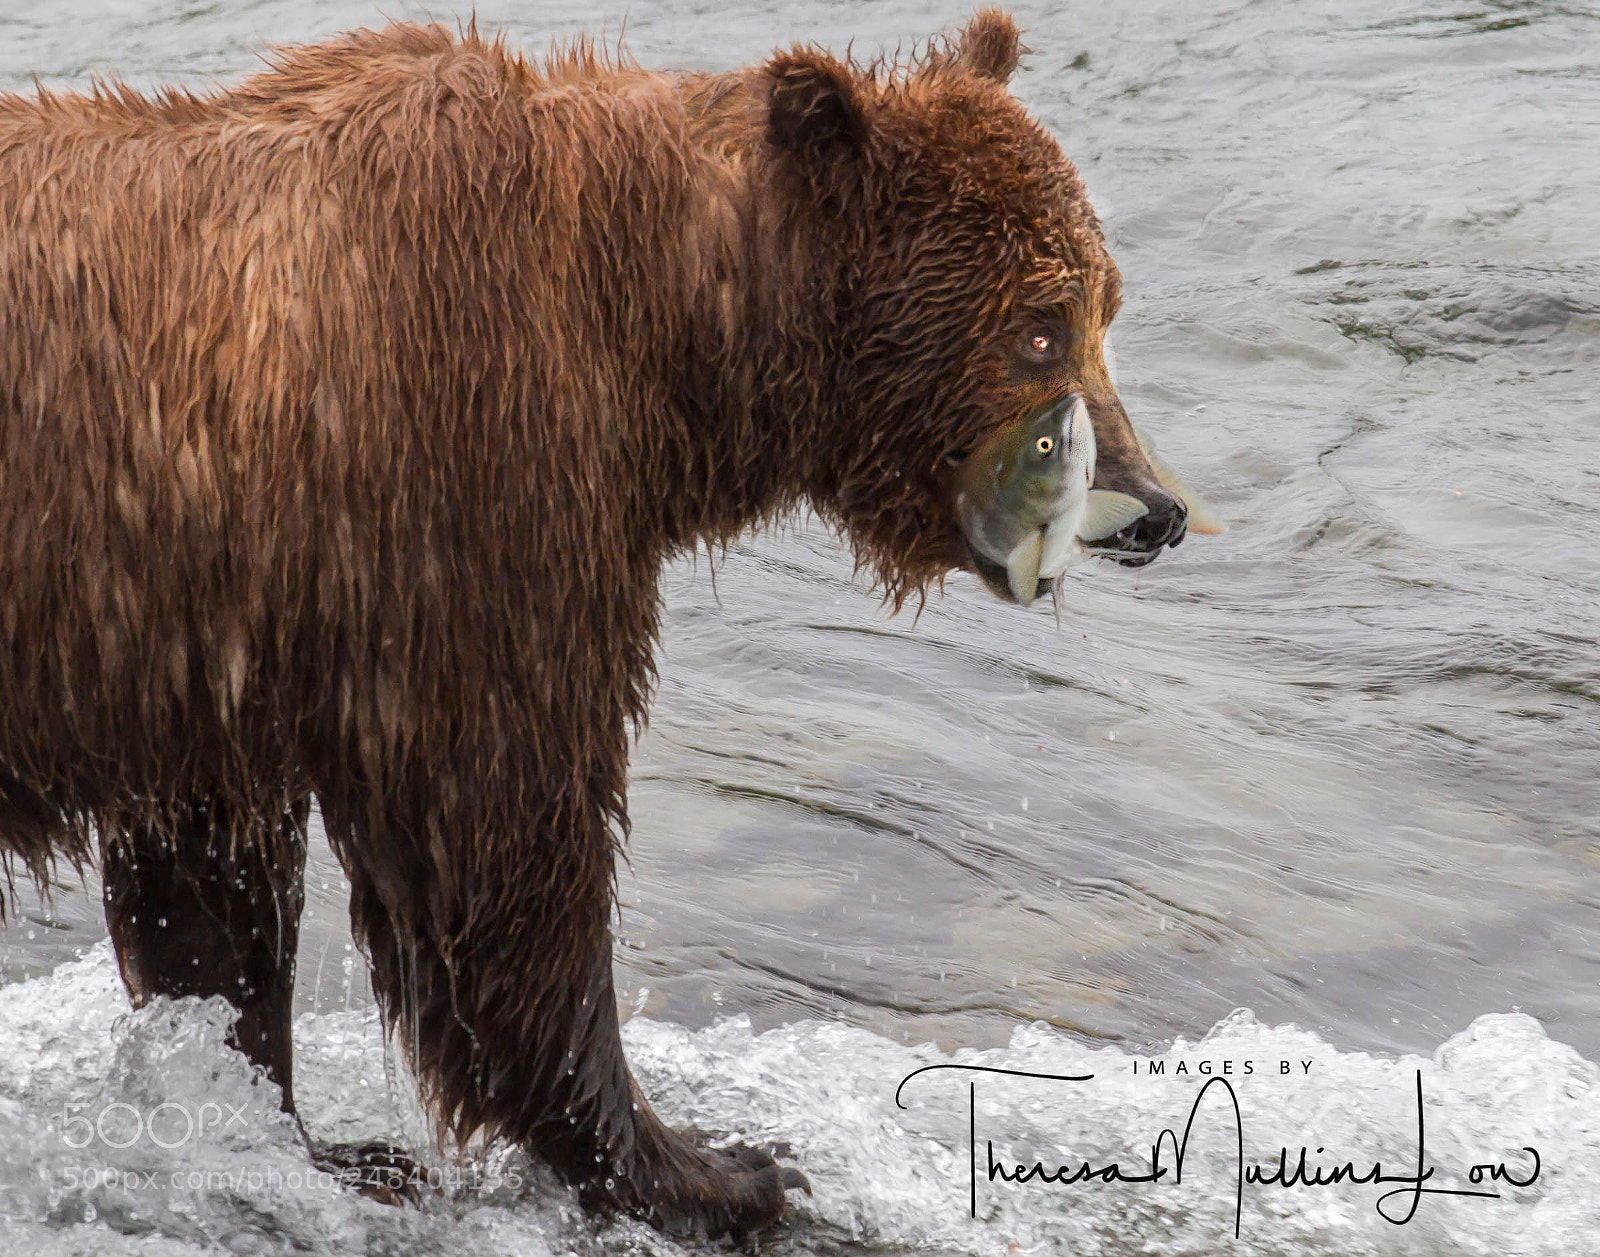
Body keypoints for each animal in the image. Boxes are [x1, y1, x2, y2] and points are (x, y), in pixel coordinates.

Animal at [0, 10, 1186, 1238]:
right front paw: (715, 1164)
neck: (664, 344)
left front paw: (298, 1134)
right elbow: (502, 839)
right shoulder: (469, 496)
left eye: (1103, 306)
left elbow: (213, 901)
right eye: (1039, 328)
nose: (1154, 510)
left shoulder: (207, 640)